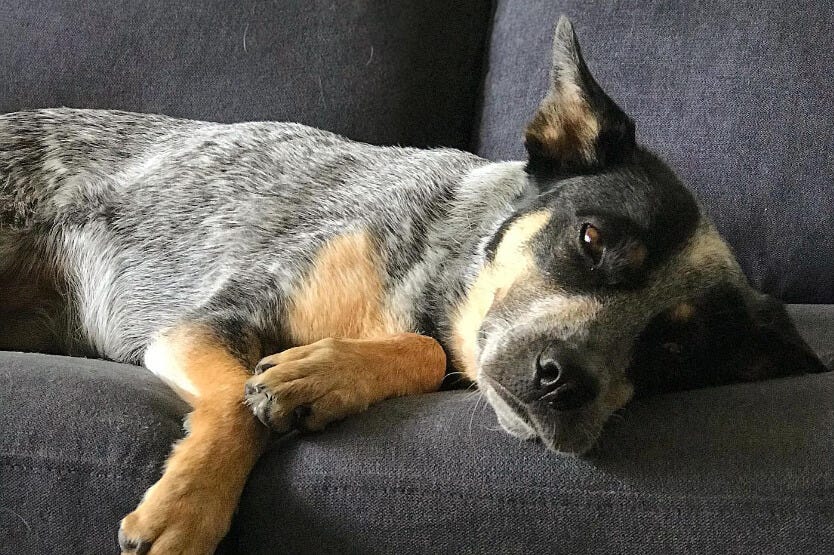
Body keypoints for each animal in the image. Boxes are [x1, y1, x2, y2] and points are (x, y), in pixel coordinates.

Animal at [0, 15, 824, 552]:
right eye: (592, 238)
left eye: (674, 351)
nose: (567, 383)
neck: (438, 267)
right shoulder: (211, 315)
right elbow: (239, 404)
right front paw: (186, 509)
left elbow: (418, 357)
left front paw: (319, 374)